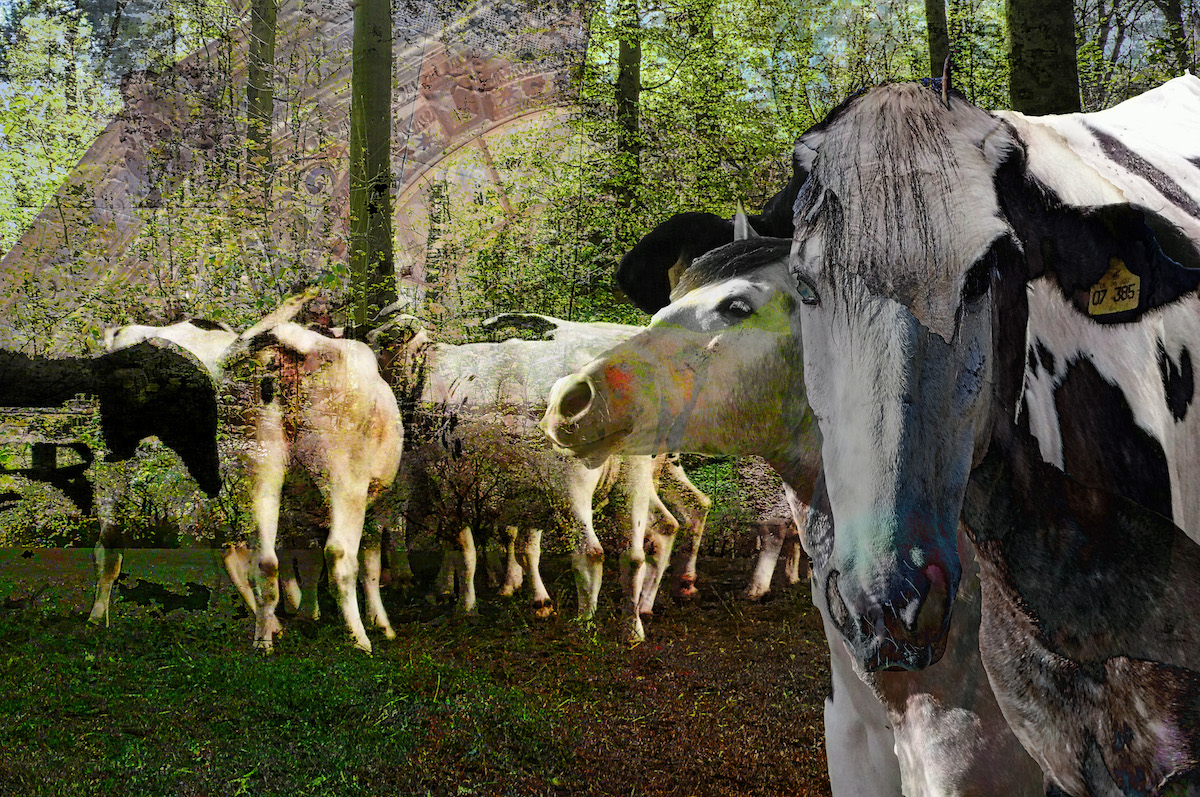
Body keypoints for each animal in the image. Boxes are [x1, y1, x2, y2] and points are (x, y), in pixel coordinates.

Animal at [368, 313, 709, 642]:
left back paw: (586, 624)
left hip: (573, 489)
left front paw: (463, 600)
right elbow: (518, 542)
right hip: (634, 480)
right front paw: (522, 592)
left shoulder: (450, 484)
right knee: (652, 539)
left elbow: (464, 549)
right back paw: (637, 622)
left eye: (376, 345)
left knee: (592, 551)